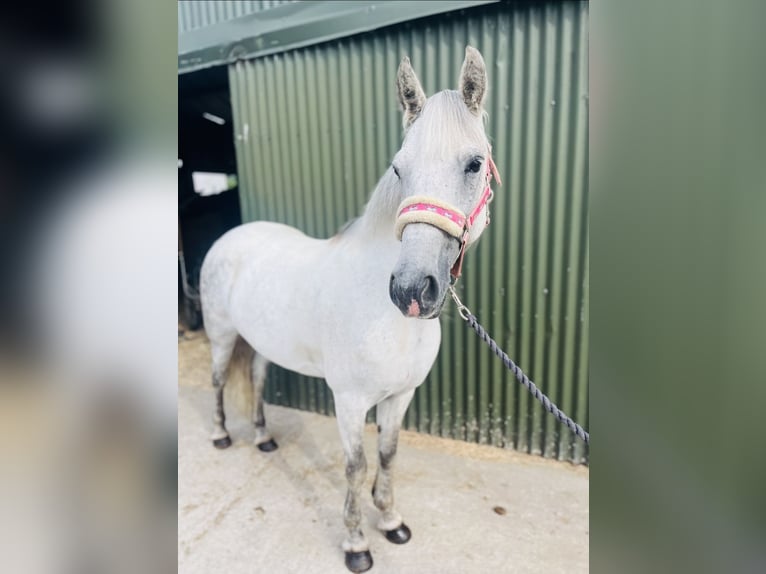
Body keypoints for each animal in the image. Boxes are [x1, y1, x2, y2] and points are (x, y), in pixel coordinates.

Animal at [199, 46, 500, 573]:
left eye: (474, 163)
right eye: (398, 168)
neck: (390, 320)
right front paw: (357, 544)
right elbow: (356, 467)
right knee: (218, 381)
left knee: (254, 379)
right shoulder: (350, 401)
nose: (411, 289)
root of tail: (231, 237)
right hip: (221, 336)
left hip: (260, 343)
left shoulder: (400, 396)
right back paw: (221, 436)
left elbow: (389, 454)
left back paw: (263, 439)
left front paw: (392, 521)